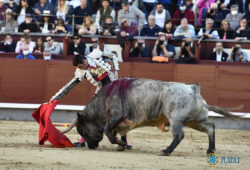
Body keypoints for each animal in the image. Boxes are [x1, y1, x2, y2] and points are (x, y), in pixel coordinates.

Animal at [63, 77, 241, 156]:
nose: (91, 146)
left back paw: (166, 151)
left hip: (176, 119)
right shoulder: (120, 121)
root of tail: (193, 89)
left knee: (179, 135)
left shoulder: (116, 115)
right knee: (210, 127)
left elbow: (108, 131)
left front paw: (120, 143)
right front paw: (122, 145)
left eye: (81, 130)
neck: (105, 98)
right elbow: (118, 132)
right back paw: (210, 150)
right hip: (194, 120)